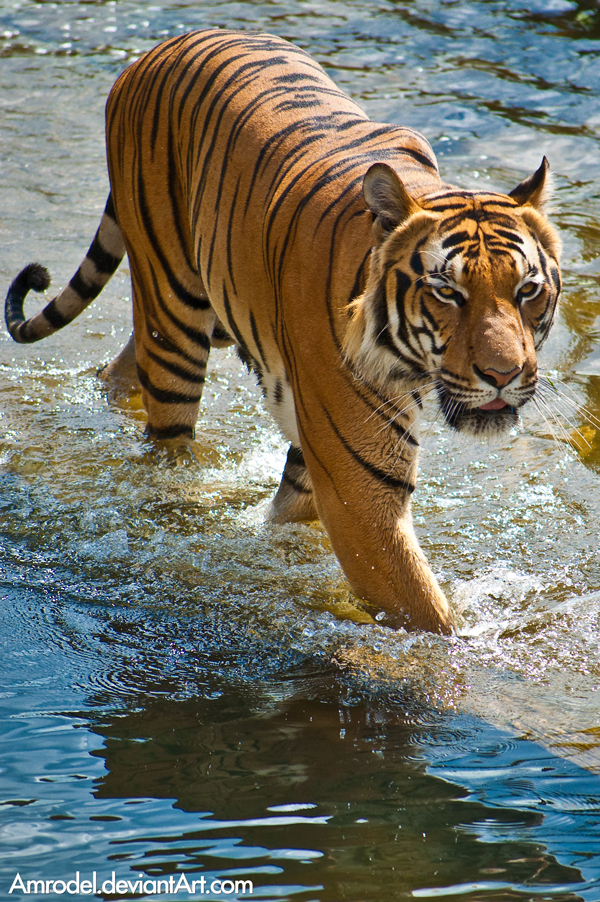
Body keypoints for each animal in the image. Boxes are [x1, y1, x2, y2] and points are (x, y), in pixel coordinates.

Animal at [5, 28, 564, 636]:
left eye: (526, 290)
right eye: (447, 292)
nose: (503, 375)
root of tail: (160, 47)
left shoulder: (320, 464)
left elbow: (291, 512)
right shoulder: (359, 488)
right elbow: (426, 614)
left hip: (212, 314)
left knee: (118, 370)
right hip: (173, 312)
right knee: (166, 440)